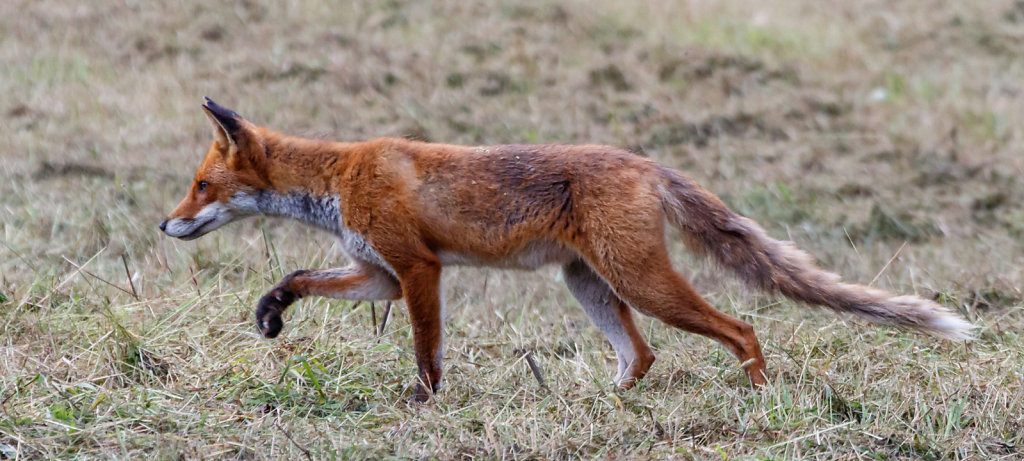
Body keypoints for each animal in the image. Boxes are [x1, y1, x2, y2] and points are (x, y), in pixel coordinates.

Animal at [161, 98, 974, 401]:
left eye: (200, 185)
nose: (166, 225)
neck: (338, 176)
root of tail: (645, 162)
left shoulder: (418, 269)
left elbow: (426, 348)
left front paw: (425, 400)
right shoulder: (378, 271)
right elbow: (300, 275)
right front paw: (271, 311)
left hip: (641, 281)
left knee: (740, 327)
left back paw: (757, 391)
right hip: (588, 285)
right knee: (641, 355)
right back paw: (607, 398)